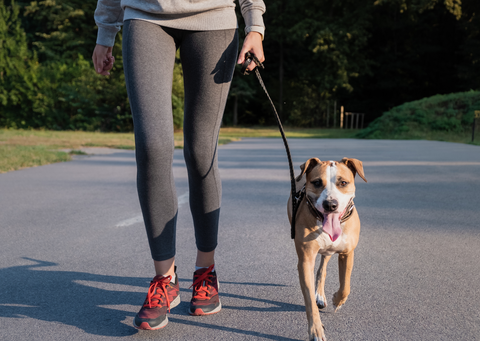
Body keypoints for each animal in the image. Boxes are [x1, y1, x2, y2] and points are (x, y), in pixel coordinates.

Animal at [288, 157, 368, 340]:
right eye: (317, 182)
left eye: (343, 182)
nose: (330, 204)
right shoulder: (305, 261)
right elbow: (309, 301)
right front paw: (316, 330)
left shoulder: (347, 253)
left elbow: (345, 285)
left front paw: (337, 301)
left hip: (329, 252)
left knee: (322, 269)